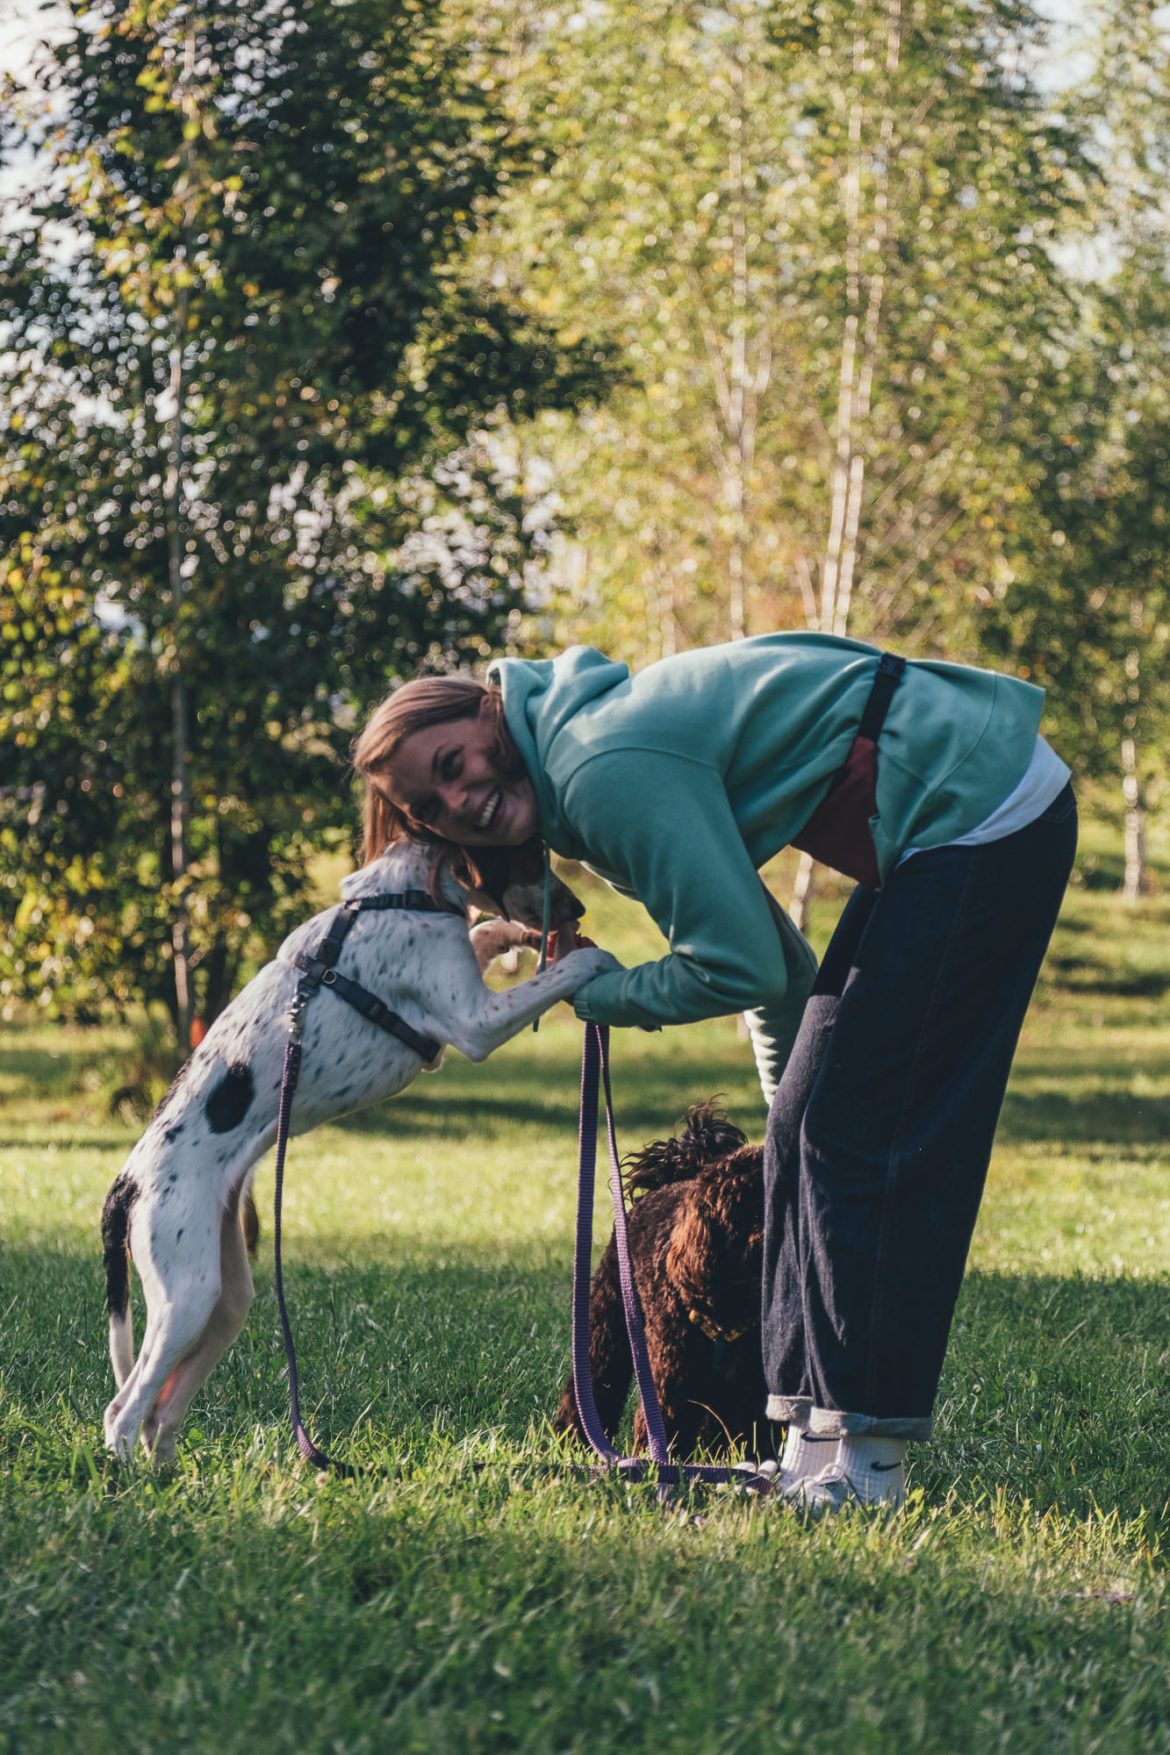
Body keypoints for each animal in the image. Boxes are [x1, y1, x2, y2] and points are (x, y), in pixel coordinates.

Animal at [101, 838, 617, 1467]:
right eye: (523, 854)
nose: (578, 909)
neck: (402, 893)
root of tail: (126, 1184)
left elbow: (482, 933)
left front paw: (512, 935)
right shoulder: (473, 1022)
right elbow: (566, 970)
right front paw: (596, 960)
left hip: (224, 1297)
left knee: (161, 1411)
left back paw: (174, 1477)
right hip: (186, 1297)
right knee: (125, 1409)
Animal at [557, 1102, 778, 1460]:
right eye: (751, 1213)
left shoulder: (749, 1381)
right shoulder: (672, 1375)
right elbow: (665, 1417)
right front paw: (661, 1462)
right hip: (608, 1322)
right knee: (596, 1378)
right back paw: (573, 1438)